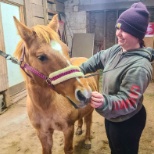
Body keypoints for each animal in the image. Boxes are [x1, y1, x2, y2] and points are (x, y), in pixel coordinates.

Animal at [12, 14, 97, 154]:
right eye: (41, 57)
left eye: (66, 49)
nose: (84, 94)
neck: (45, 107)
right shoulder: (43, 134)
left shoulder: (68, 129)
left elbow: (68, 148)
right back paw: (80, 128)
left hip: (90, 110)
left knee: (88, 122)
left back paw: (87, 140)